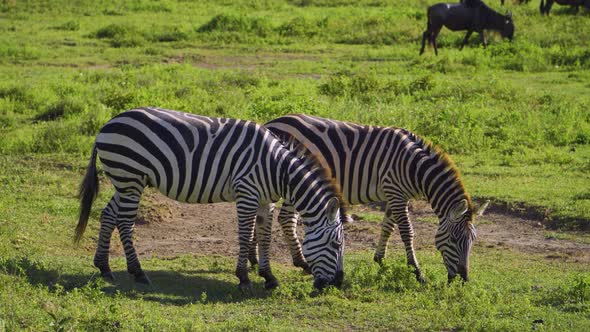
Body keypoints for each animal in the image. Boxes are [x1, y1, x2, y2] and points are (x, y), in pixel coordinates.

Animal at [76, 107, 350, 290]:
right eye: (336, 244)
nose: (338, 282)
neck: (277, 169)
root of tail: (107, 124)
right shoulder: (247, 194)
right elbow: (244, 235)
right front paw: (243, 277)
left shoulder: (266, 201)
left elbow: (264, 236)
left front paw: (269, 277)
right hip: (130, 178)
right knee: (124, 222)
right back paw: (138, 272)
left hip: (126, 182)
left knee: (108, 214)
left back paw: (104, 267)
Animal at [258, 115, 486, 282]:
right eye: (454, 240)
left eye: (473, 241)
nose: (463, 279)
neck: (415, 168)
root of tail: (272, 122)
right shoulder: (395, 191)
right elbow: (407, 231)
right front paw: (416, 270)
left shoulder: (396, 195)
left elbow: (387, 227)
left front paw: (380, 260)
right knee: (286, 219)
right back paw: (302, 263)